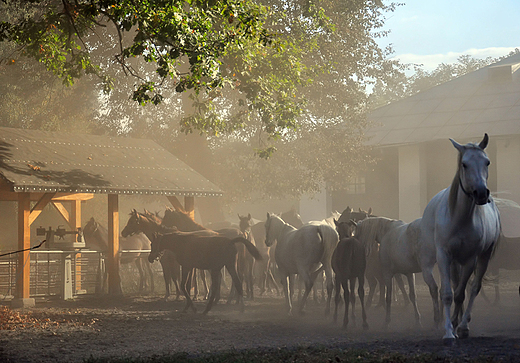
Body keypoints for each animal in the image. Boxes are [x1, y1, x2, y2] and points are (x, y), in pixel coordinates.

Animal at [418, 134, 500, 346]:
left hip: (483, 257)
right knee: (455, 286)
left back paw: (462, 324)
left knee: (473, 288)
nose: (482, 193)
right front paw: (448, 332)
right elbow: (448, 294)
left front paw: (460, 327)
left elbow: (462, 293)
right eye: (464, 164)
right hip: (453, 261)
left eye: (487, 162)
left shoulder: (471, 259)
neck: (460, 218)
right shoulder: (444, 256)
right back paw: (454, 321)